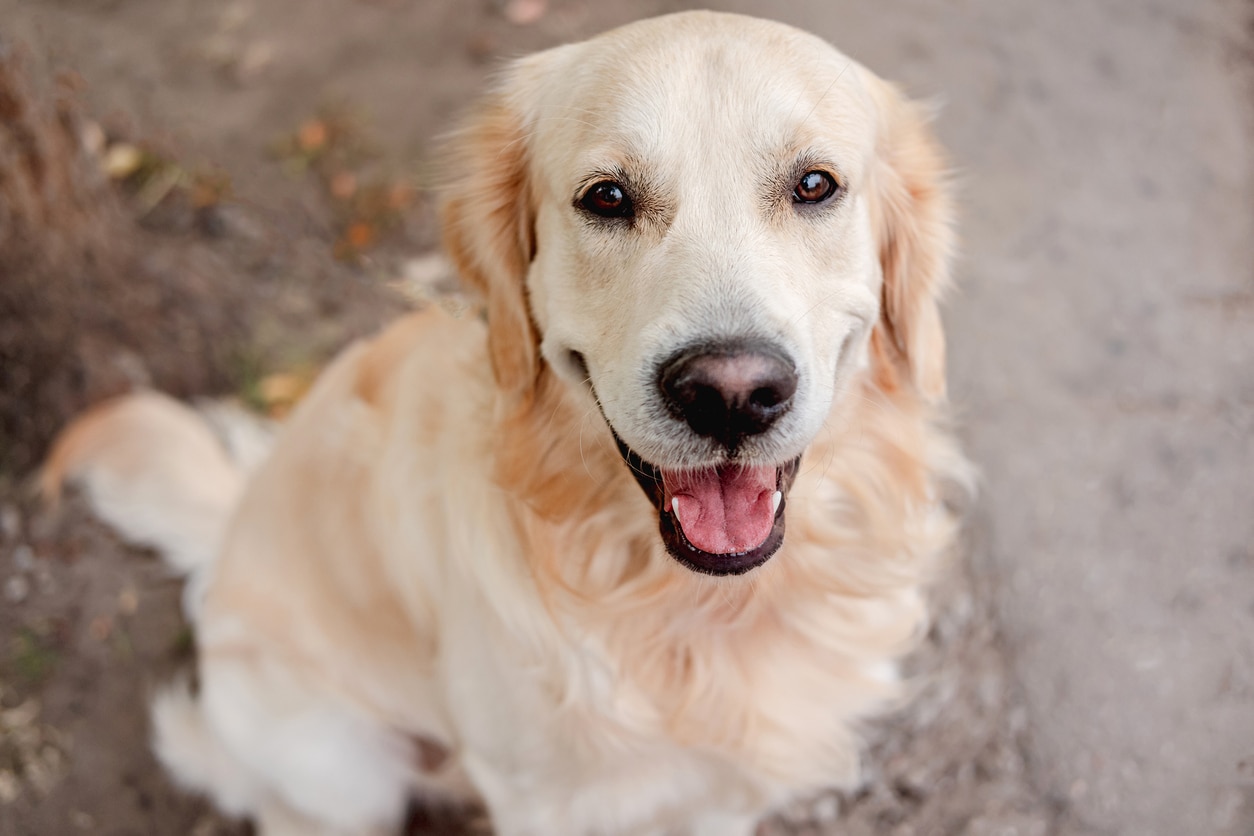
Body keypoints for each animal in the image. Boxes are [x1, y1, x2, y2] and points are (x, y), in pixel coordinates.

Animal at [44, 11, 968, 836]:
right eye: (607, 198)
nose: (730, 393)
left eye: (815, 185)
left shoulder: (717, 793)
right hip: (341, 772)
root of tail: (232, 528)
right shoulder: (540, 798)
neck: (692, 608)